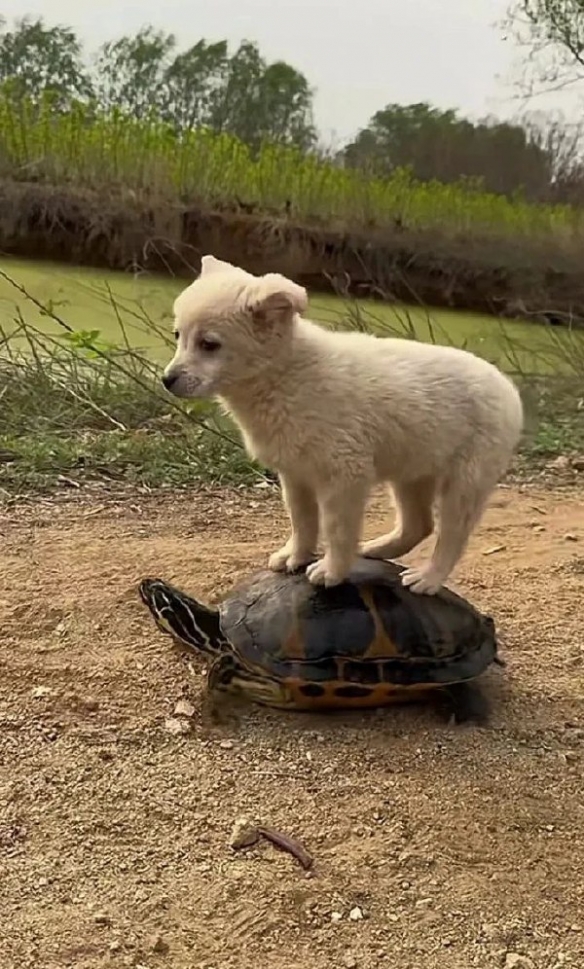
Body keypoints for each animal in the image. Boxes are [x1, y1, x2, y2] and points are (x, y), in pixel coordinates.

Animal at [162, 253, 524, 592]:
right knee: (419, 524)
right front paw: (296, 556)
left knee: (452, 534)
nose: (167, 380)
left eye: (209, 345)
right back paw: (378, 549)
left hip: (466, 480)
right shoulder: (295, 473)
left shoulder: (344, 475)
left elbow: (336, 529)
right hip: (412, 472)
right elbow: (302, 521)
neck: (284, 373)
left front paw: (331, 571)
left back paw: (428, 578)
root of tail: (509, 388)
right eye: (179, 335)